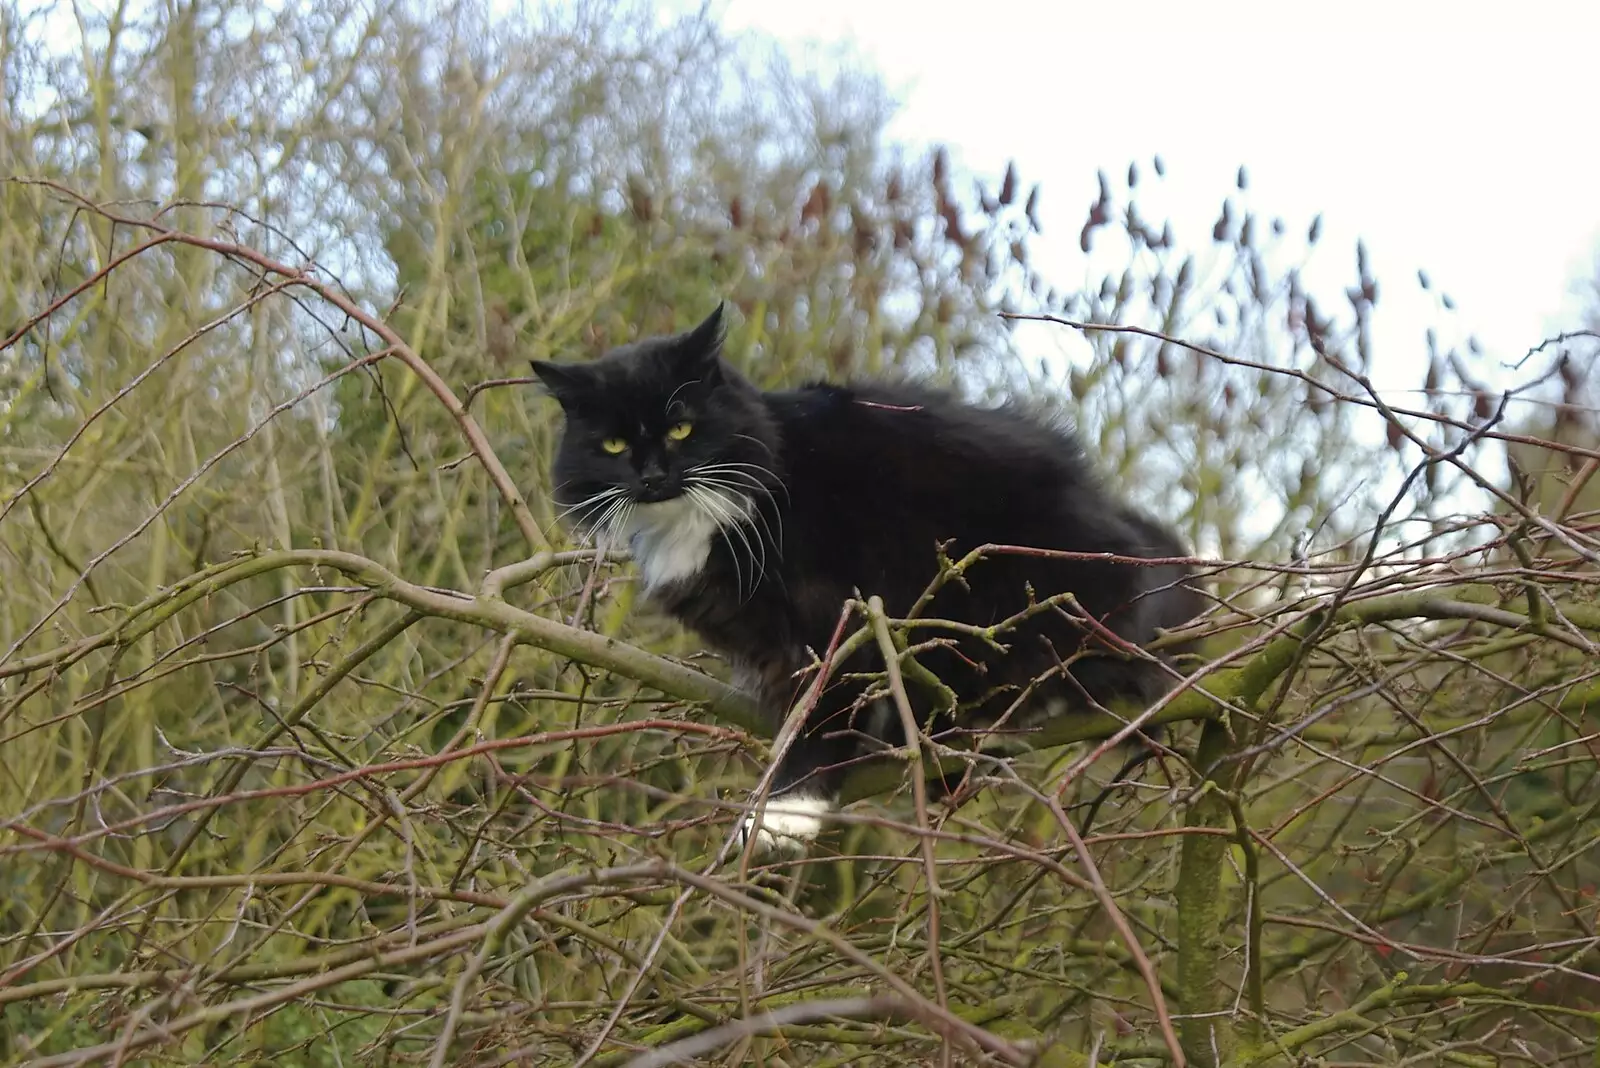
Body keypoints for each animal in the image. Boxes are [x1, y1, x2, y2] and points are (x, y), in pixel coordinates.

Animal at [534, 303, 1203, 856]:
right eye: (612, 444)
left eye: (681, 427)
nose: (651, 476)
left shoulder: (841, 614)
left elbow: (826, 712)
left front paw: (787, 809)